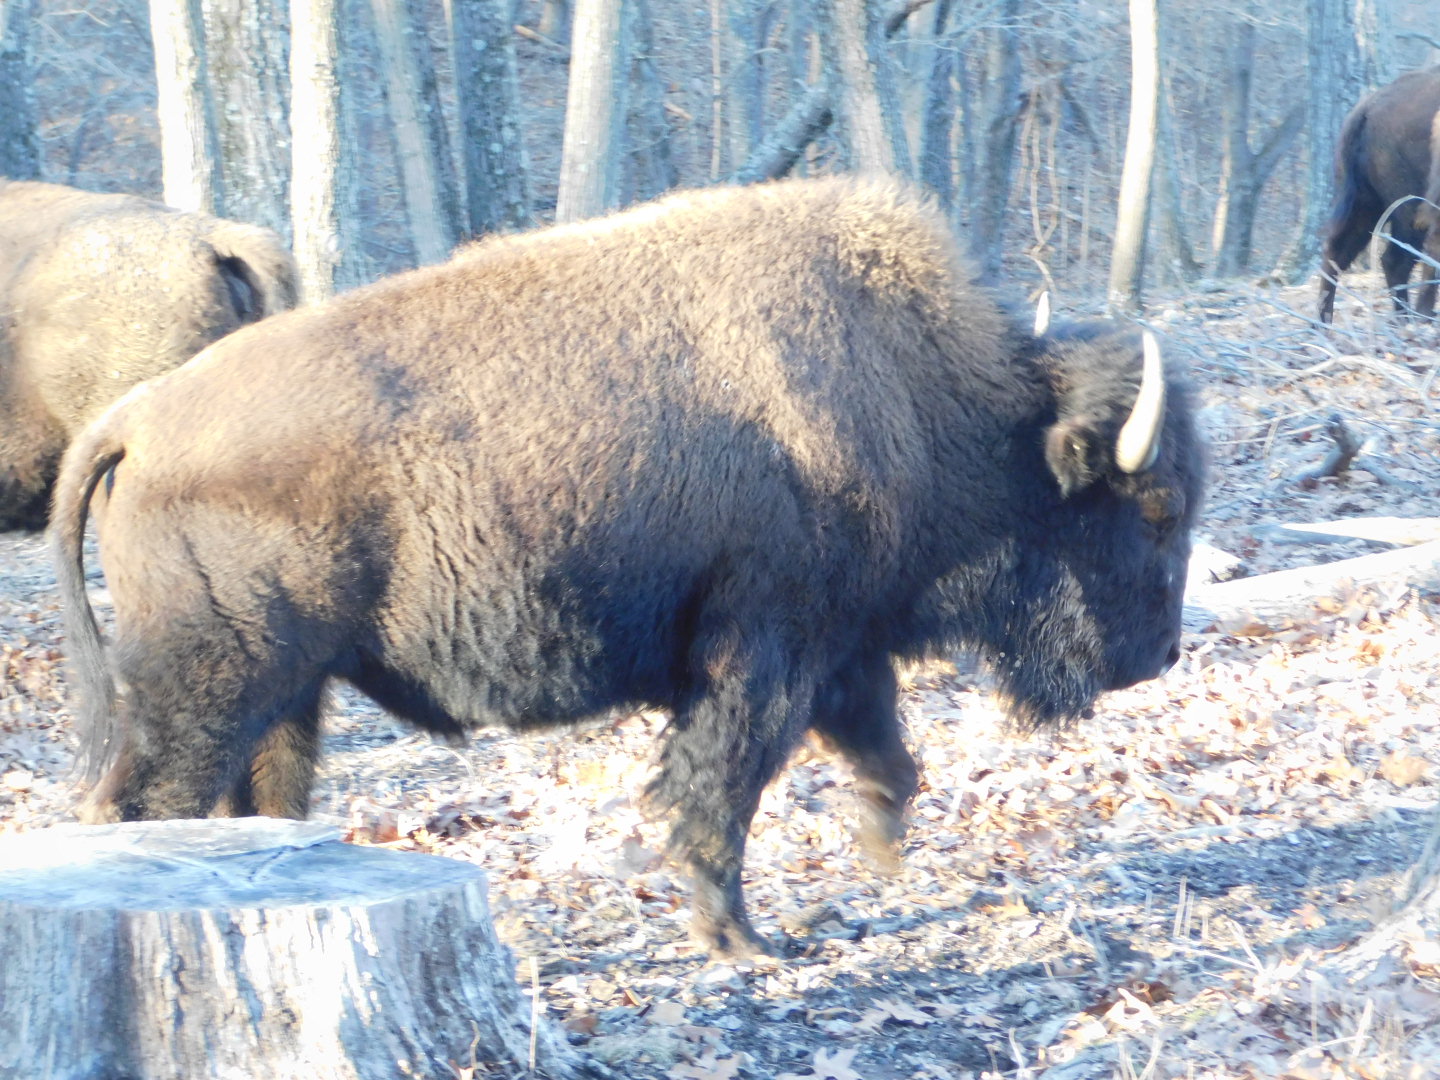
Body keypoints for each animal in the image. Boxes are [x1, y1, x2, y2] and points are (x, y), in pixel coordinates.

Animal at [53, 178, 1203, 957]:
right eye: (1154, 510)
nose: (1159, 656)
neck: (931, 402)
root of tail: (135, 421)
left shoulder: (838, 643)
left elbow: (881, 752)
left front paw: (877, 858)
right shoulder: (764, 651)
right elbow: (723, 788)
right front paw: (741, 942)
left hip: (286, 694)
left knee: (253, 798)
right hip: (210, 685)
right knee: (140, 804)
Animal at [1319, 66, 1440, 323]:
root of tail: (1367, 109)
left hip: (1364, 203)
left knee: (1336, 254)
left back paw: (1321, 324)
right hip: (1407, 207)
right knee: (1400, 259)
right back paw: (1414, 317)